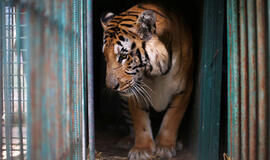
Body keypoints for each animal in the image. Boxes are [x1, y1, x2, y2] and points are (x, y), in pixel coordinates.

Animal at [100, 2, 193, 160]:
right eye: (105, 57)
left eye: (123, 56)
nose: (111, 87)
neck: (155, 75)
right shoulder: (134, 91)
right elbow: (140, 121)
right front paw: (141, 150)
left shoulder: (184, 89)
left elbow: (172, 118)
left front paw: (165, 147)